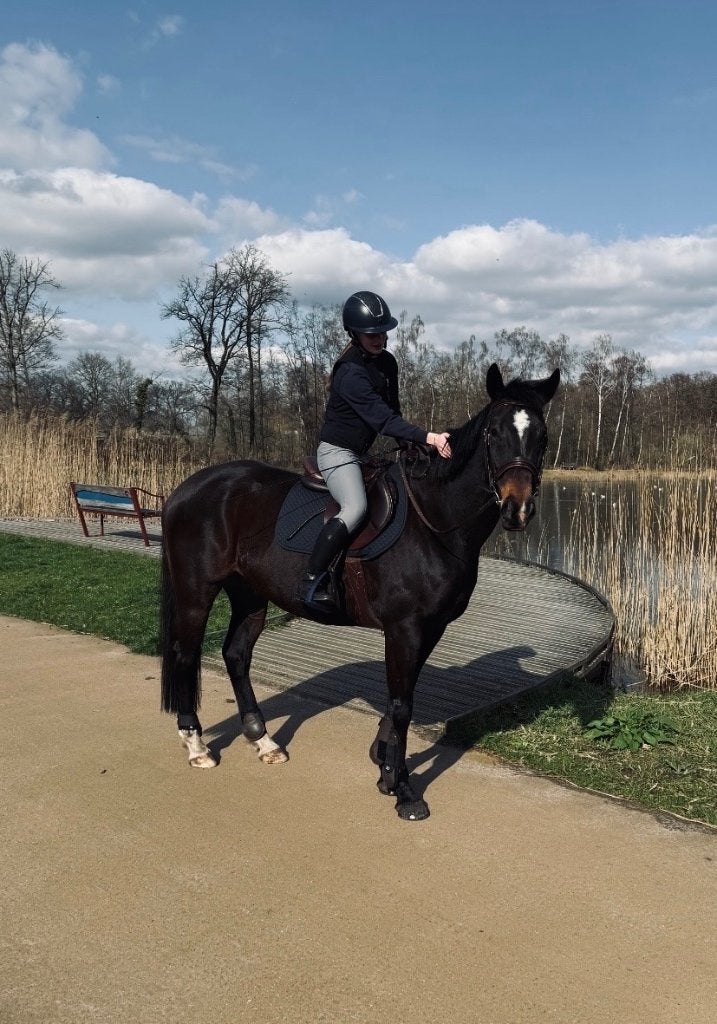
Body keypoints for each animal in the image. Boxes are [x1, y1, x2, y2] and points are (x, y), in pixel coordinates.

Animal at [159, 362, 560, 821]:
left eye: (542, 435)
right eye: (493, 432)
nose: (518, 509)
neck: (433, 521)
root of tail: (188, 488)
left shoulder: (429, 628)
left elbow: (400, 698)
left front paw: (384, 764)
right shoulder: (405, 628)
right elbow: (402, 705)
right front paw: (403, 789)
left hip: (249, 595)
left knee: (236, 655)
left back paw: (262, 740)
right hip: (196, 592)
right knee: (186, 654)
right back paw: (196, 744)